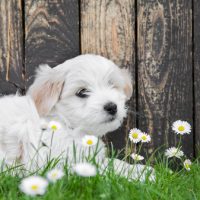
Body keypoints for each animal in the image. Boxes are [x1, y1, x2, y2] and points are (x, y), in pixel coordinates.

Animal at [0, 54, 154, 180]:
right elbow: (106, 169)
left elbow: (113, 162)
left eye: (112, 85)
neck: (65, 123)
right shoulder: (63, 162)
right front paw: (141, 174)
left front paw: (142, 170)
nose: (112, 107)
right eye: (82, 92)